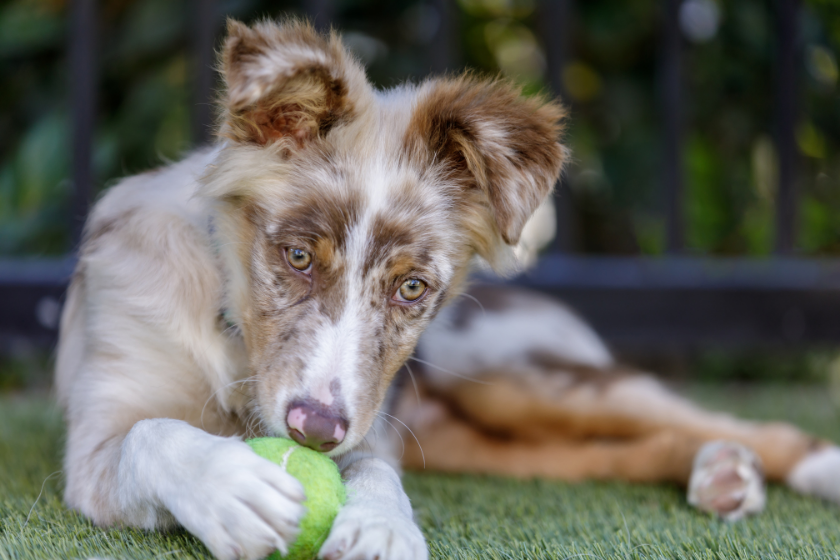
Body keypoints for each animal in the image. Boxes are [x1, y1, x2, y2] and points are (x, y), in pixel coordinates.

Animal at [54, 16, 840, 560]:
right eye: (298, 256)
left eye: (411, 288)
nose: (313, 432)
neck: (234, 335)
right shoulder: (93, 449)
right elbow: (150, 434)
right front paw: (230, 488)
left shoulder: (369, 424)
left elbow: (375, 471)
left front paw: (379, 527)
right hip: (485, 438)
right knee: (623, 451)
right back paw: (717, 475)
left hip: (519, 376)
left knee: (713, 422)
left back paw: (805, 466)